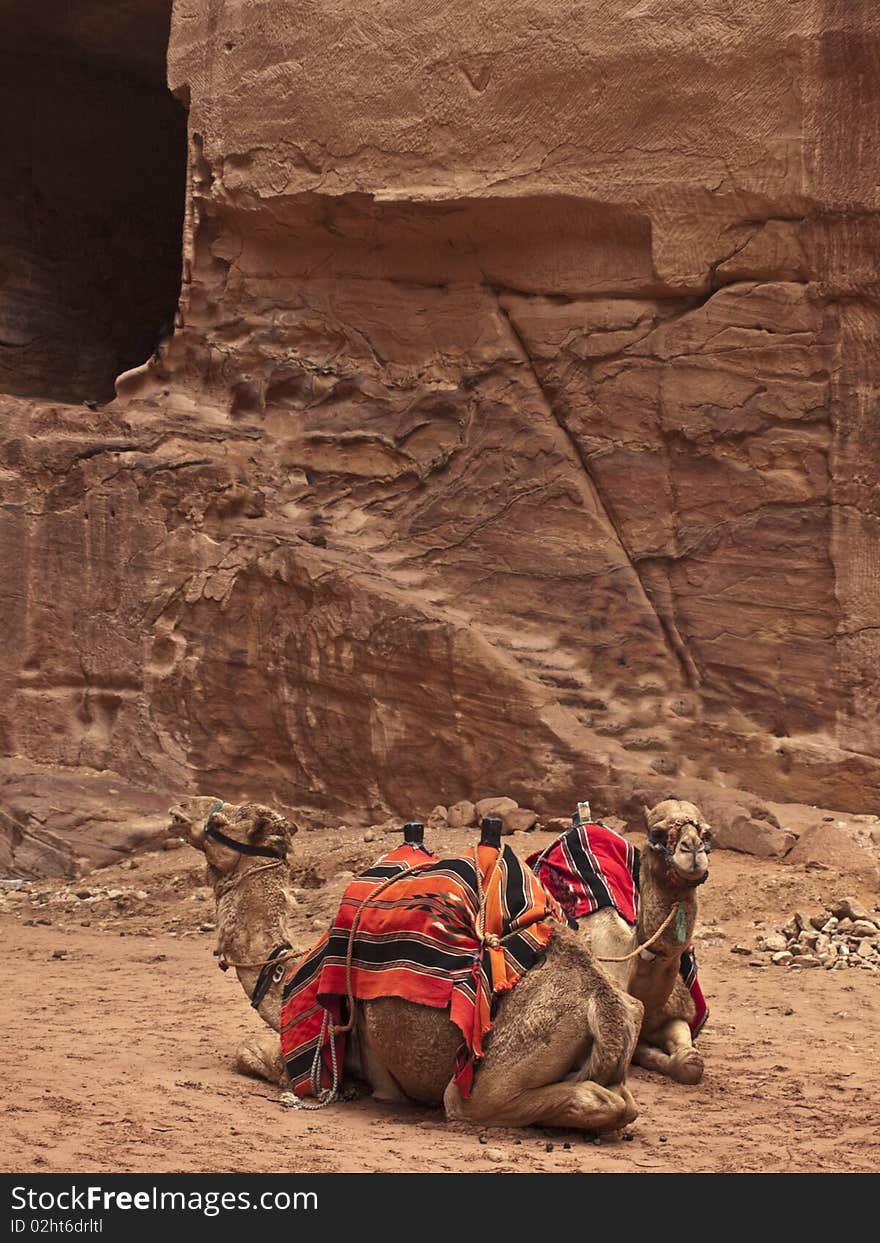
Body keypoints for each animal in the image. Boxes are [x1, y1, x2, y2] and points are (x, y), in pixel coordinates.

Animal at [171, 795, 641, 1138]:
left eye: (225, 821)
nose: (180, 808)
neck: (286, 974)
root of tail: (601, 1004)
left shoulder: (315, 1051)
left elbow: (247, 1052)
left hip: (495, 1072)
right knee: (623, 1099)